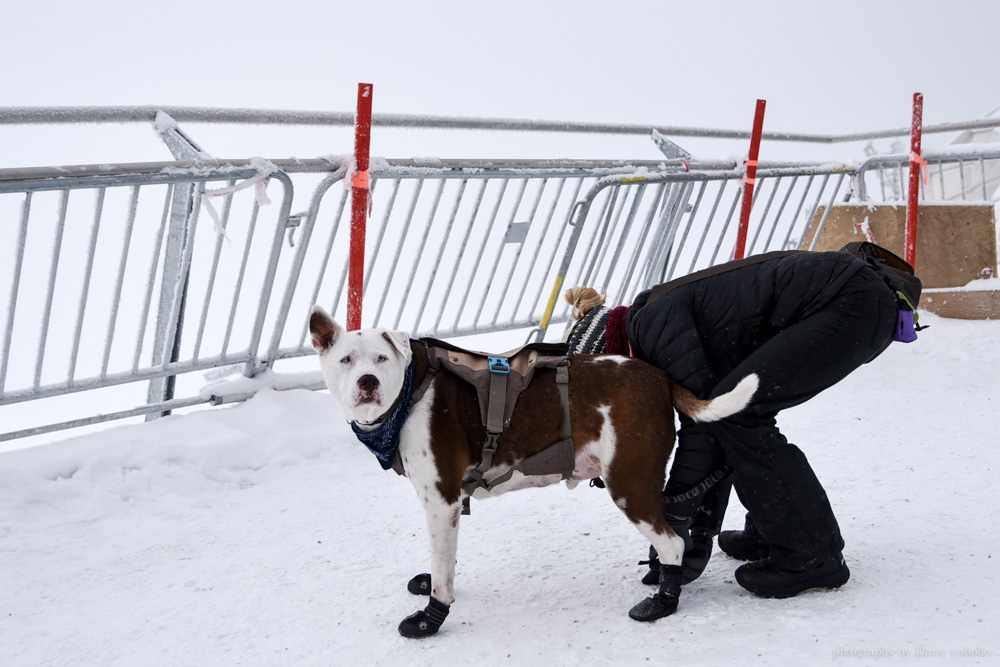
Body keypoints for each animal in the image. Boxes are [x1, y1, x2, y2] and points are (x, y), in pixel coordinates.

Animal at [308, 306, 752, 640]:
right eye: (346, 360)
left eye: (381, 359)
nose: (368, 382)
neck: (411, 391)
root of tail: (659, 377)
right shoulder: (448, 508)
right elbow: (445, 560)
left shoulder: (441, 499)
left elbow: (442, 574)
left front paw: (430, 617)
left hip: (630, 483)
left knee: (674, 543)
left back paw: (662, 602)